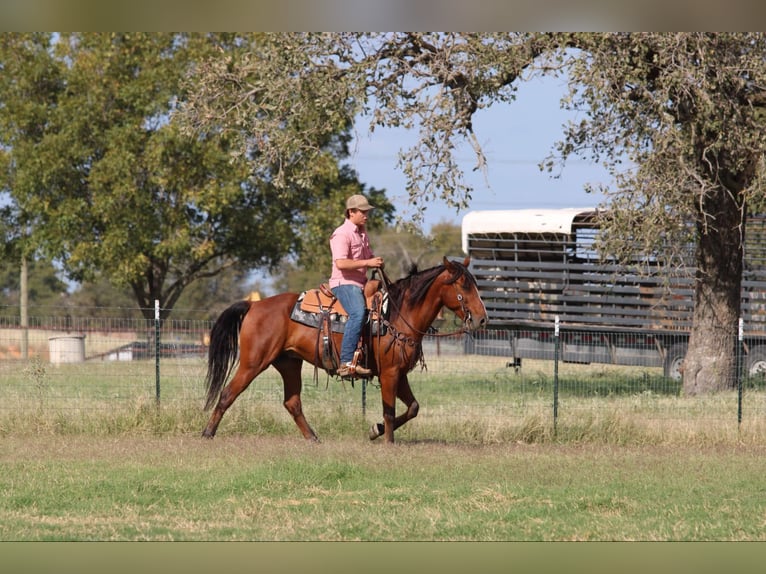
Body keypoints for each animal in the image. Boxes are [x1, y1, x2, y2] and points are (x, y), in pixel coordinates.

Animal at [201, 258, 488, 446]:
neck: (397, 315)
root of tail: (254, 305)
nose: (482, 319)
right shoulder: (389, 374)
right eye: (463, 286)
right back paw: (207, 433)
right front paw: (388, 441)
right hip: (253, 363)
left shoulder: (400, 373)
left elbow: (413, 408)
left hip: (289, 363)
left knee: (292, 403)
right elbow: (390, 409)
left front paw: (375, 430)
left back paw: (313, 438)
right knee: (228, 393)